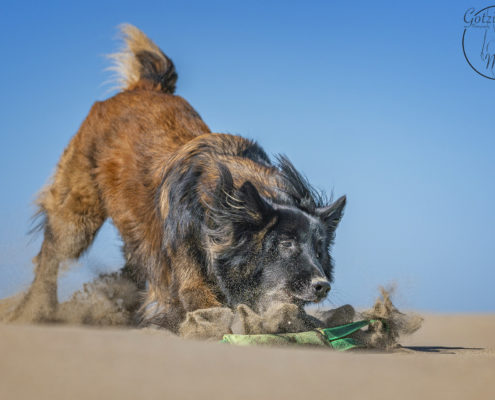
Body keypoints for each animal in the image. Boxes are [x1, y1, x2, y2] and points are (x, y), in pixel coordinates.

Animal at [10, 25, 344, 332]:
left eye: (319, 248)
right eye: (286, 244)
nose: (322, 285)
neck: (222, 205)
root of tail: (146, 86)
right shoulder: (192, 278)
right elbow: (207, 305)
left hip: (137, 236)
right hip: (78, 216)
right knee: (51, 255)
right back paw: (38, 310)